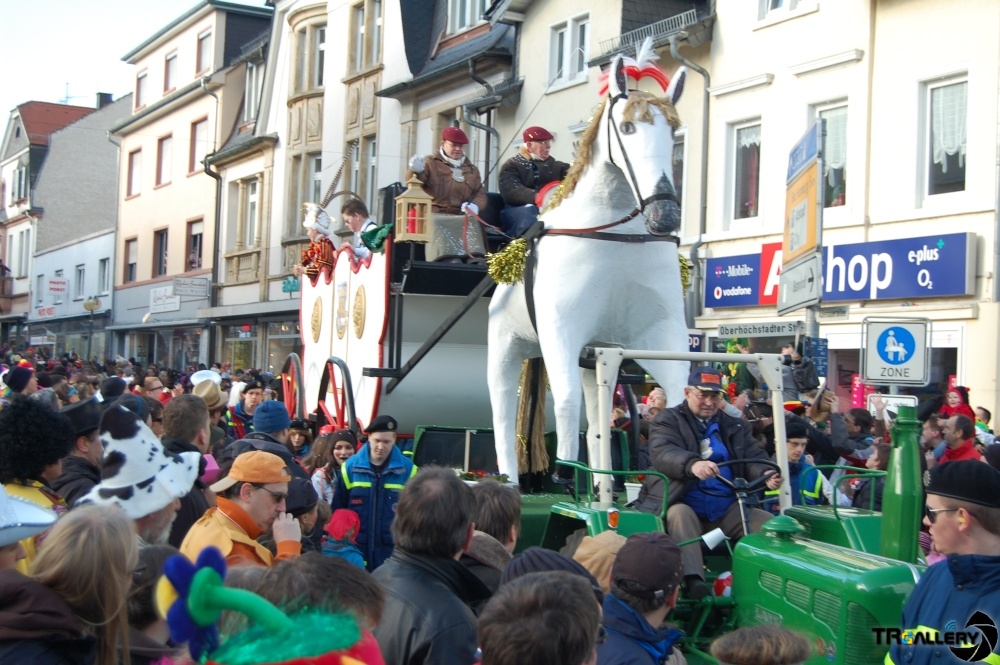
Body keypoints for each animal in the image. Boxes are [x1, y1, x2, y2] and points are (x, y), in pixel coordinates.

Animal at [487, 53, 689, 488]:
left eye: (674, 129)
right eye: (627, 127)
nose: (665, 214)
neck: (613, 231)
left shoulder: (658, 332)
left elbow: (680, 394)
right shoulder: (562, 330)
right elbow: (565, 403)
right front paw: (565, 470)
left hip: (594, 357)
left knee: (597, 418)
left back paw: (602, 481)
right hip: (507, 345)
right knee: (501, 406)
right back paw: (513, 479)